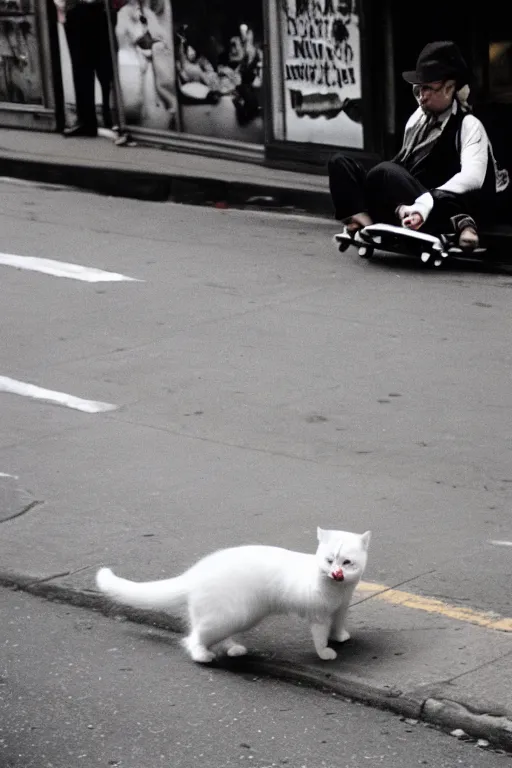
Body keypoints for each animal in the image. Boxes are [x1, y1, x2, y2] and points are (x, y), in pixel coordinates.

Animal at [96, 532, 370, 664]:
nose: (336, 573)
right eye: (329, 560)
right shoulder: (319, 616)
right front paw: (325, 653)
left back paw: (234, 649)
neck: (338, 589)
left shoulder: (340, 609)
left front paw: (340, 637)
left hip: (235, 617)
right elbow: (320, 638)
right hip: (229, 617)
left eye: (347, 562)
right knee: (192, 639)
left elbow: (338, 625)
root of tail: (194, 573)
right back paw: (203, 657)